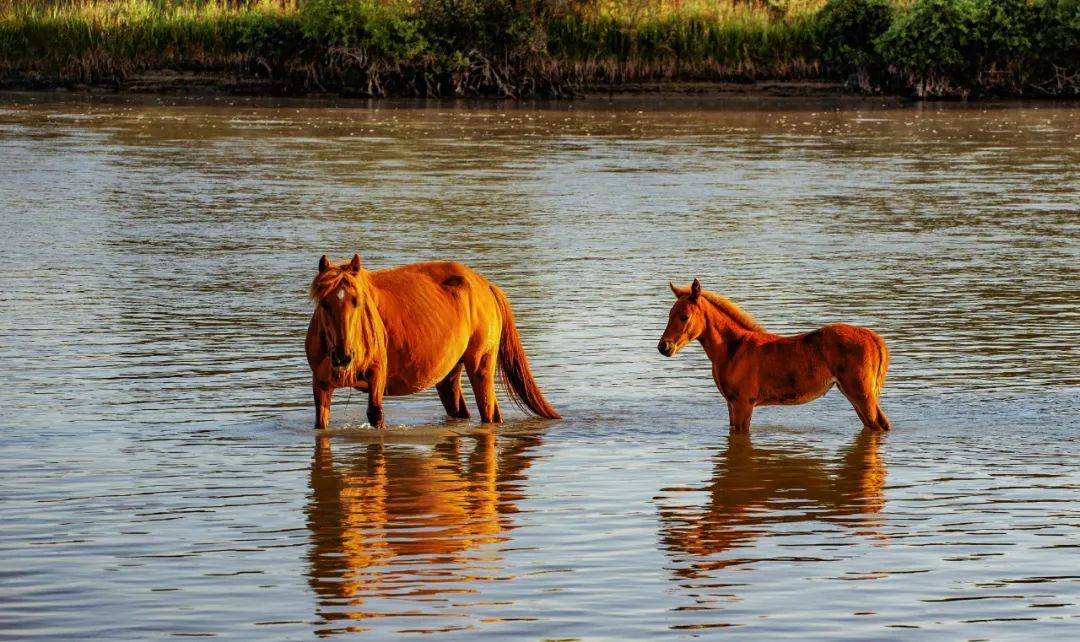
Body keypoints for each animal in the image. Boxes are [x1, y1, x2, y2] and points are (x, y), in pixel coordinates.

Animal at [304, 252, 557, 428]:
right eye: (324, 302)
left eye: (358, 301)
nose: (343, 357)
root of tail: (485, 284)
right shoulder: (321, 384)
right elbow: (320, 422)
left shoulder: (377, 375)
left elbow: (376, 415)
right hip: (449, 373)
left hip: (481, 364)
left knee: (490, 414)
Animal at [656, 278, 894, 432]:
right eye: (670, 314)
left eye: (684, 316)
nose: (663, 347)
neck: (733, 348)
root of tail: (875, 339)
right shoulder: (731, 403)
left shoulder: (743, 403)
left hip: (861, 393)